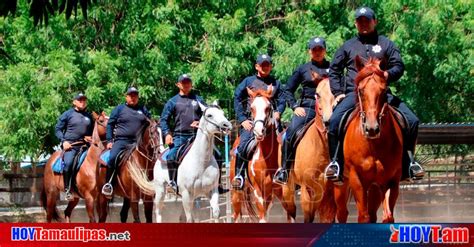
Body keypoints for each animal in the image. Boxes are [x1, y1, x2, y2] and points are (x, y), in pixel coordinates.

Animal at [231, 86, 284, 223]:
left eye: (268, 107)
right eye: (252, 108)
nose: (258, 131)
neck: (267, 159)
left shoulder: (278, 192)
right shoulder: (258, 194)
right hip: (236, 194)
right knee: (236, 215)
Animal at [334, 56, 404, 224]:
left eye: (384, 91)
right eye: (361, 90)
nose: (372, 129)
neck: (374, 146)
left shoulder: (391, 181)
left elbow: (388, 217)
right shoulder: (356, 179)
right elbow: (363, 216)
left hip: (374, 187)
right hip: (341, 184)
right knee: (342, 213)